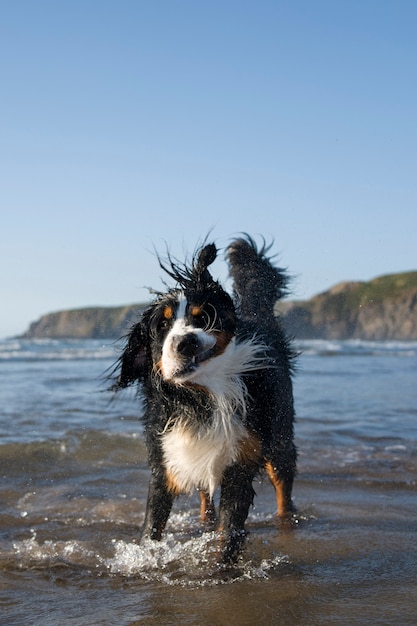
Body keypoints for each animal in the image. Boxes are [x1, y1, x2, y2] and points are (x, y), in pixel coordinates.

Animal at [110, 234, 296, 560]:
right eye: (162, 325)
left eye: (203, 317)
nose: (186, 342)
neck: (201, 397)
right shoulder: (165, 458)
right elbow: (152, 526)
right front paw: (146, 555)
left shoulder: (240, 464)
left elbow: (228, 531)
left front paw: (223, 566)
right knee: (204, 493)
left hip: (280, 436)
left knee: (283, 485)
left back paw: (286, 523)